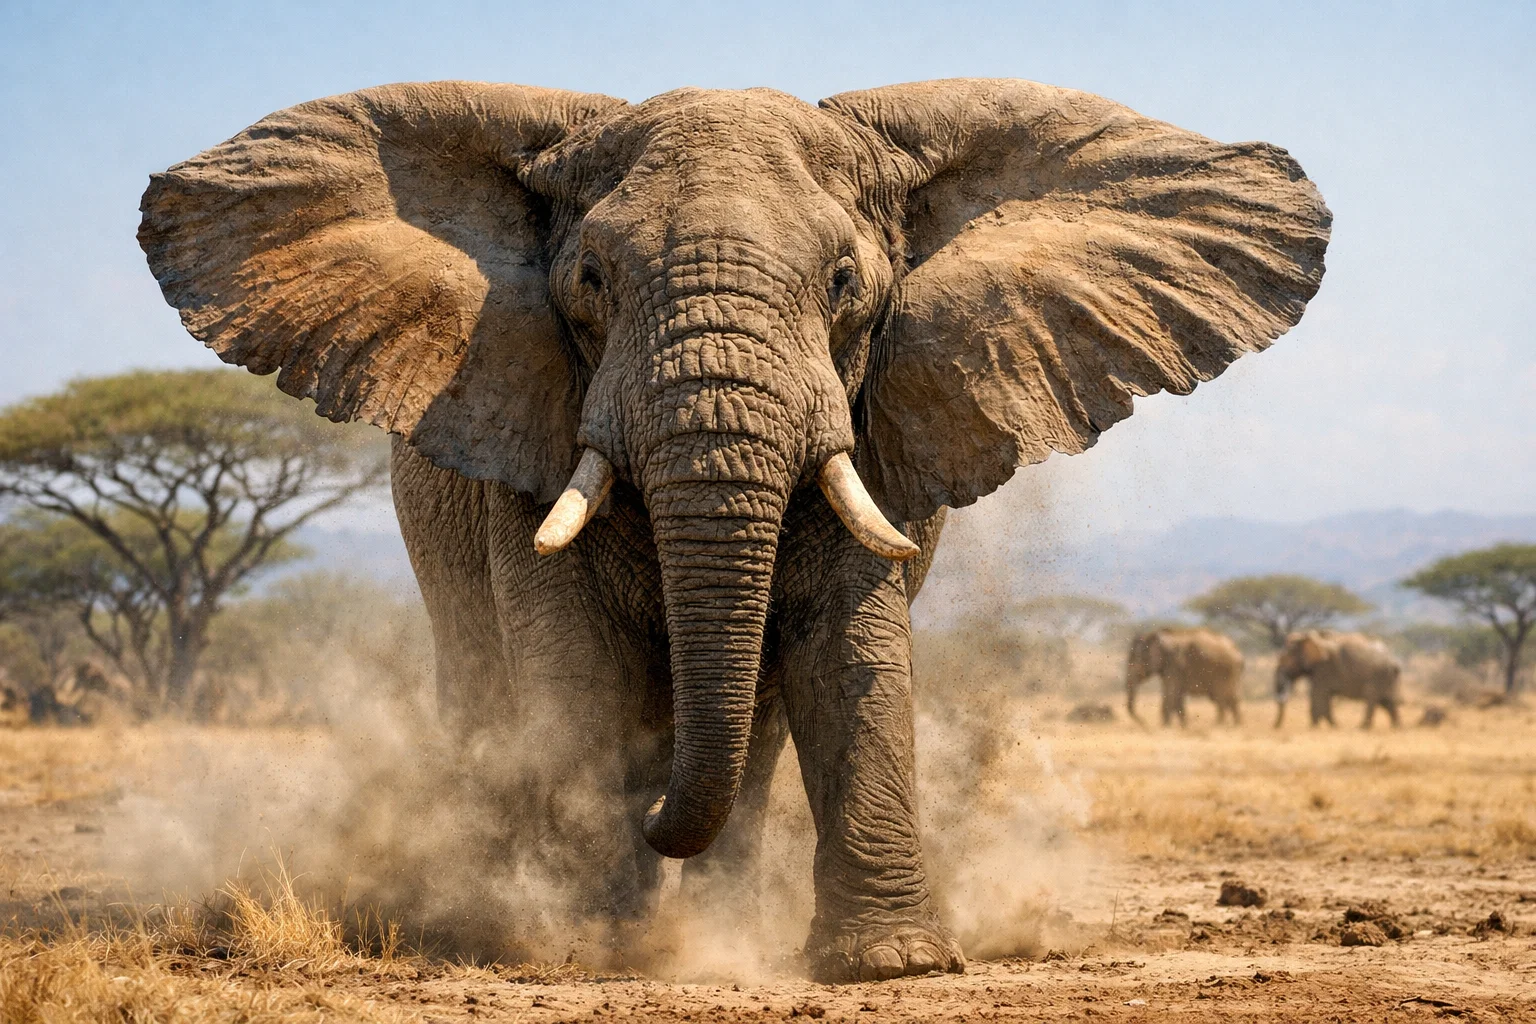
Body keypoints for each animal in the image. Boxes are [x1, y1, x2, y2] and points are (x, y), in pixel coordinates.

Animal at [137, 78, 1329, 981]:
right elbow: (575, 667)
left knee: (755, 731)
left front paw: (887, 965)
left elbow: (852, 652)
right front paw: (587, 947)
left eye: (846, 283)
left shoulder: (873, 425)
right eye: (590, 279)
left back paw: (715, 919)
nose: (653, 813)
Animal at [1274, 630, 1402, 728]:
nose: (1275, 727)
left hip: (1378, 676)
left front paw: (1316, 728)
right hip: (1386, 678)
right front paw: (1331, 726)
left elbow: (1318, 696)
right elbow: (1322, 699)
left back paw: (1362, 728)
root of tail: (1394, 662)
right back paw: (1396, 728)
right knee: (1388, 703)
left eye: (1284, 659)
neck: (1303, 637)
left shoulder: (1323, 668)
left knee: (1372, 699)